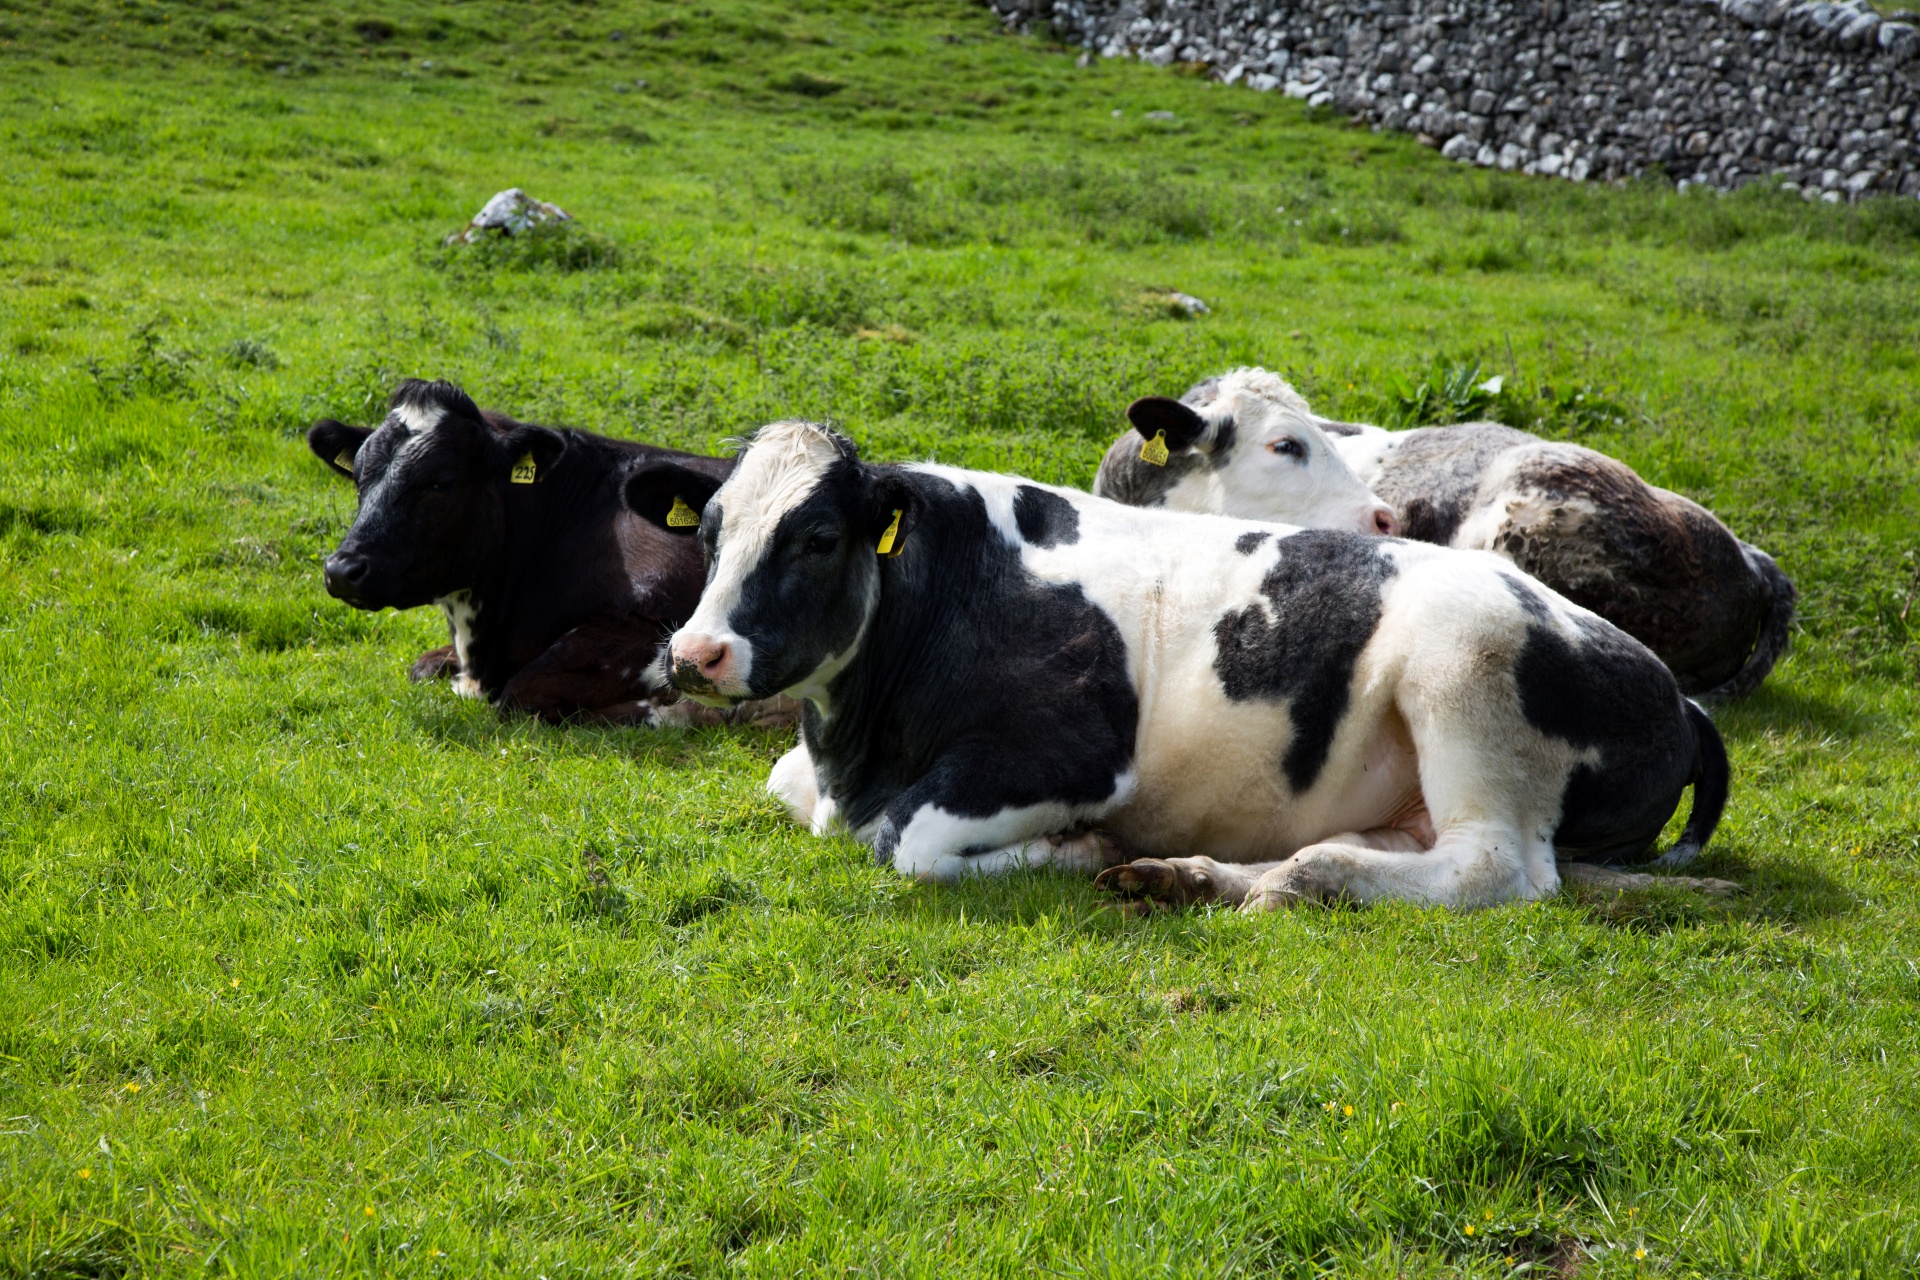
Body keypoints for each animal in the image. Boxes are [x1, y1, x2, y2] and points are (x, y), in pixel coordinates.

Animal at [622, 420, 1735, 909]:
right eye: (709, 531)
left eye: (816, 537)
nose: (698, 652)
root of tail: (1676, 690)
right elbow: (787, 786)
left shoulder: (1068, 755)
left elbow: (909, 841)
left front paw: (1076, 849)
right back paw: (1200, 875)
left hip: (1467, 667)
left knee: (1496, 865)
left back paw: (1294, 878)